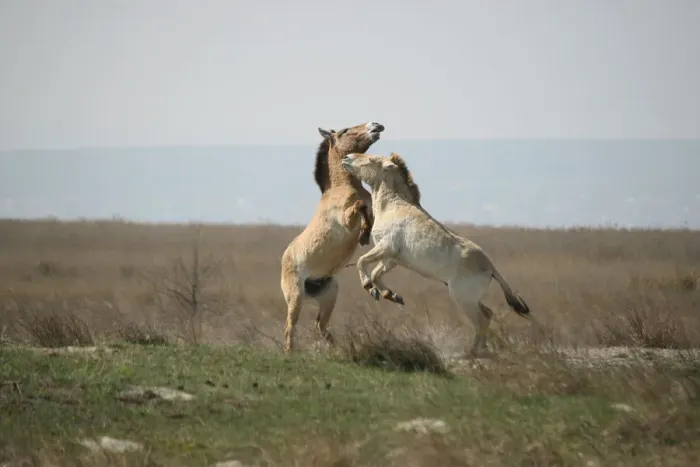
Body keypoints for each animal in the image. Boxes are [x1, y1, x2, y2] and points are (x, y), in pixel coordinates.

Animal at [280, 121, 385, 353]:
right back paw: (290, 354)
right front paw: (363, 234)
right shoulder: (347, 219)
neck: (343, 186)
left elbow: (368, 211)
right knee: (290, 328)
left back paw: (339, 349)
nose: (376, 126)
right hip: (296, 297)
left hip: (329, 295)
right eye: (345, 131)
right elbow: (360, 206)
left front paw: (366, 235)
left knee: (320, 326)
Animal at [340, 152, 531, 357]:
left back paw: (470, 352)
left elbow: (361, 262)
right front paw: (390, 295)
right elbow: (376, 272)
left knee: (481, 319)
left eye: (373, 159)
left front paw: (371, 288)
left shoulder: (386, 247)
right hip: (470, 299)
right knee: (488, 314)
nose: (346, 158)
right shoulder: (391, 259)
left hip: (462, 299)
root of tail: (491, 267)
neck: (393, 207)